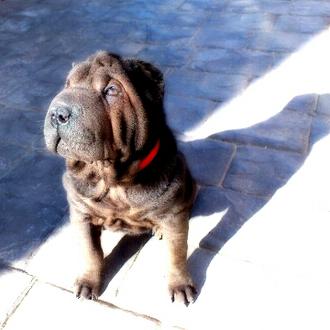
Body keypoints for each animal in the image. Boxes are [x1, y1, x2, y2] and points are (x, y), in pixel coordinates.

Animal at [43, 51, 196, 304]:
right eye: (67, 85)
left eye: (111, 90)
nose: (58, 113)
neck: (114, 180)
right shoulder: (81, 213)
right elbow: (91, 251)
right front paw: (88, 282)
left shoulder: (174, 216)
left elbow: (176, 253)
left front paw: (180, 285)